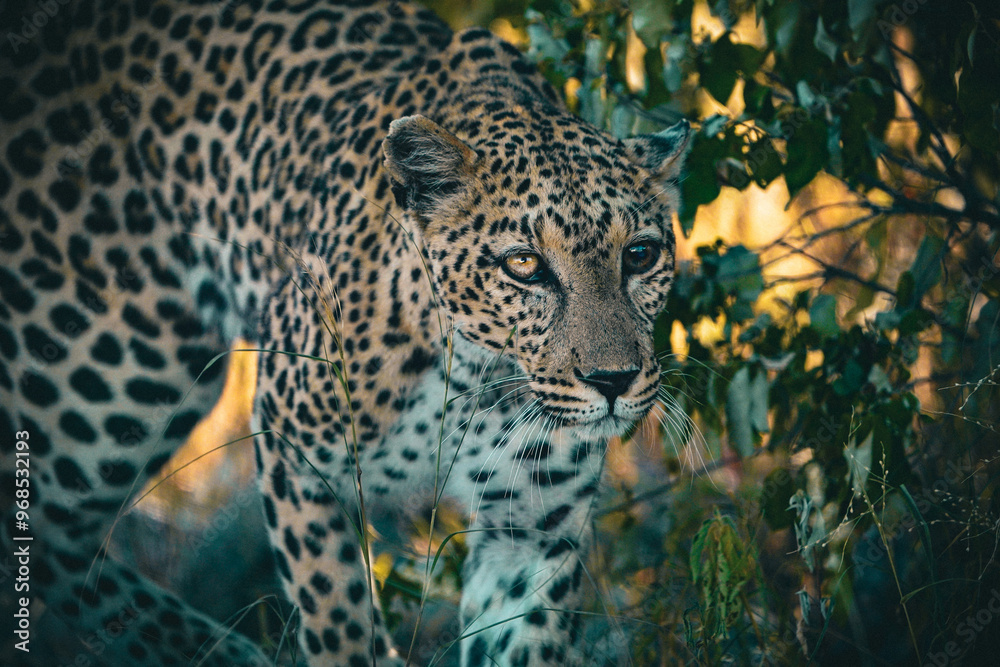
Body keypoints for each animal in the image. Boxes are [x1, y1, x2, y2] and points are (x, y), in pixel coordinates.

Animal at [0, 0, 691, 664]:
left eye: (640, 256)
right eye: (523, 264)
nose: (613, 381)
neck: (473, 372)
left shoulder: (532, 528)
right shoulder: (295, 457)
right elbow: (339, 619)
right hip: (105, 379)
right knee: (37, 531)